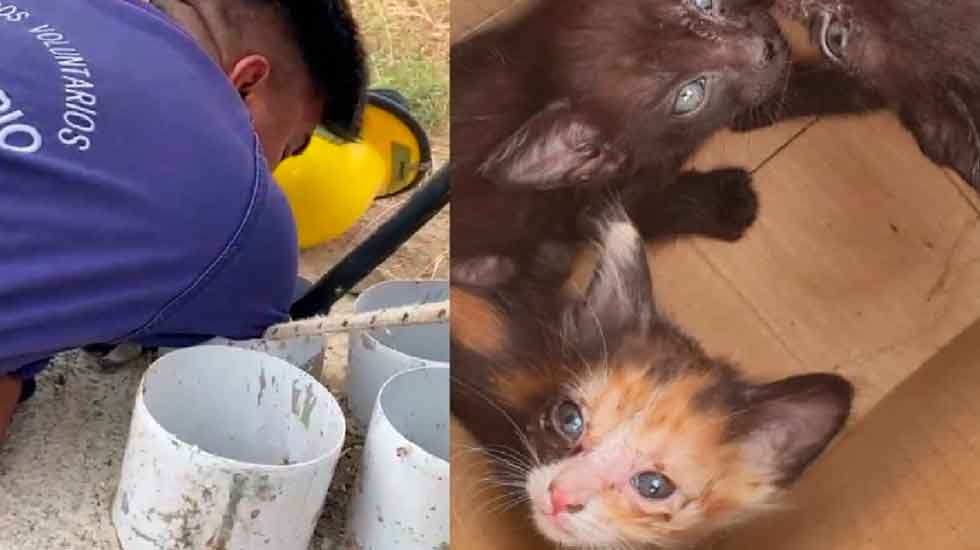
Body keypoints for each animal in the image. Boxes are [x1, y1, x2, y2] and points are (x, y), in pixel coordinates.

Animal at [454, 0, 796, 288]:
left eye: (703, 4)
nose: (766, 47)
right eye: (689, 95)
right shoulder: (593, 208)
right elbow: (649, 210)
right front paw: (726, 202)